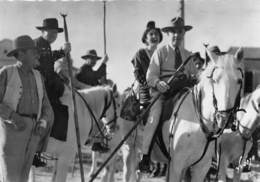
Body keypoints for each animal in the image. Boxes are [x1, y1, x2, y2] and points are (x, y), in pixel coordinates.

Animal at [121, 47, 245, 181]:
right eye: (214, 80)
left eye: (239, 81)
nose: (224, 118)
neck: (197, 120)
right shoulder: (176, 165)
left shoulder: (201, 167)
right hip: (129, 149)